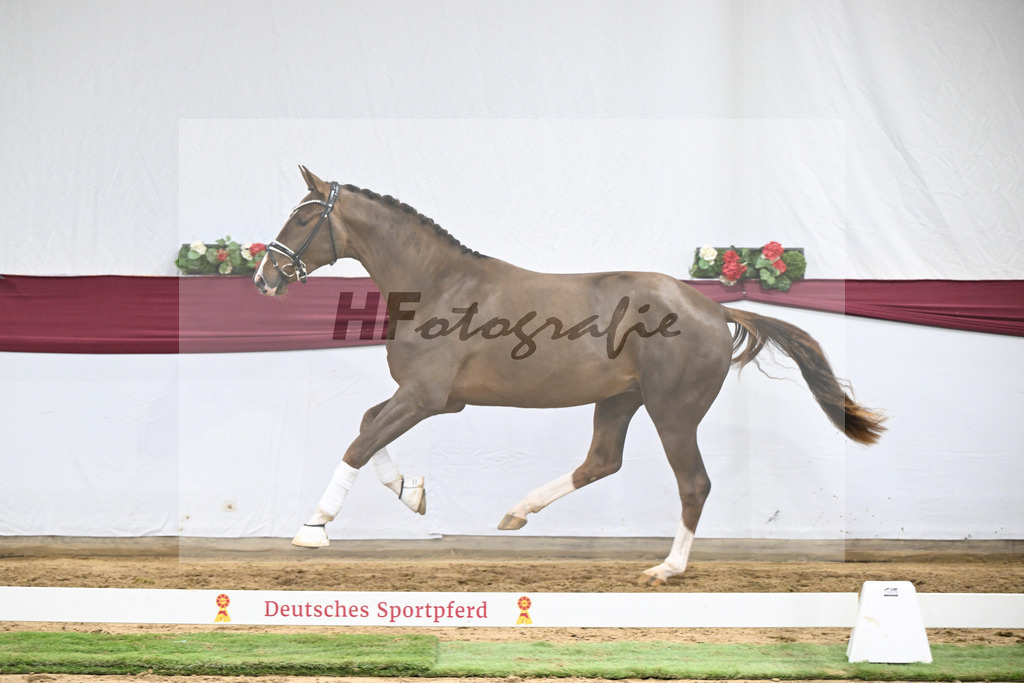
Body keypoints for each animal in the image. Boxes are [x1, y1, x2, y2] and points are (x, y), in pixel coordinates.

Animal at [254, 166, 886, 586]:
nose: (265, 276)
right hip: (620, 400)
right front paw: (412, 493)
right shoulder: (433, 398)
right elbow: (367, 426)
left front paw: (313, 528)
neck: (437, 284)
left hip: (673, 412)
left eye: (304, 217)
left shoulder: (426, 397)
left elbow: (358, 442)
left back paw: (667, 567)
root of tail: (714, 309)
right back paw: (517, 513)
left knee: (694, 483)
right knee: (602, 462)